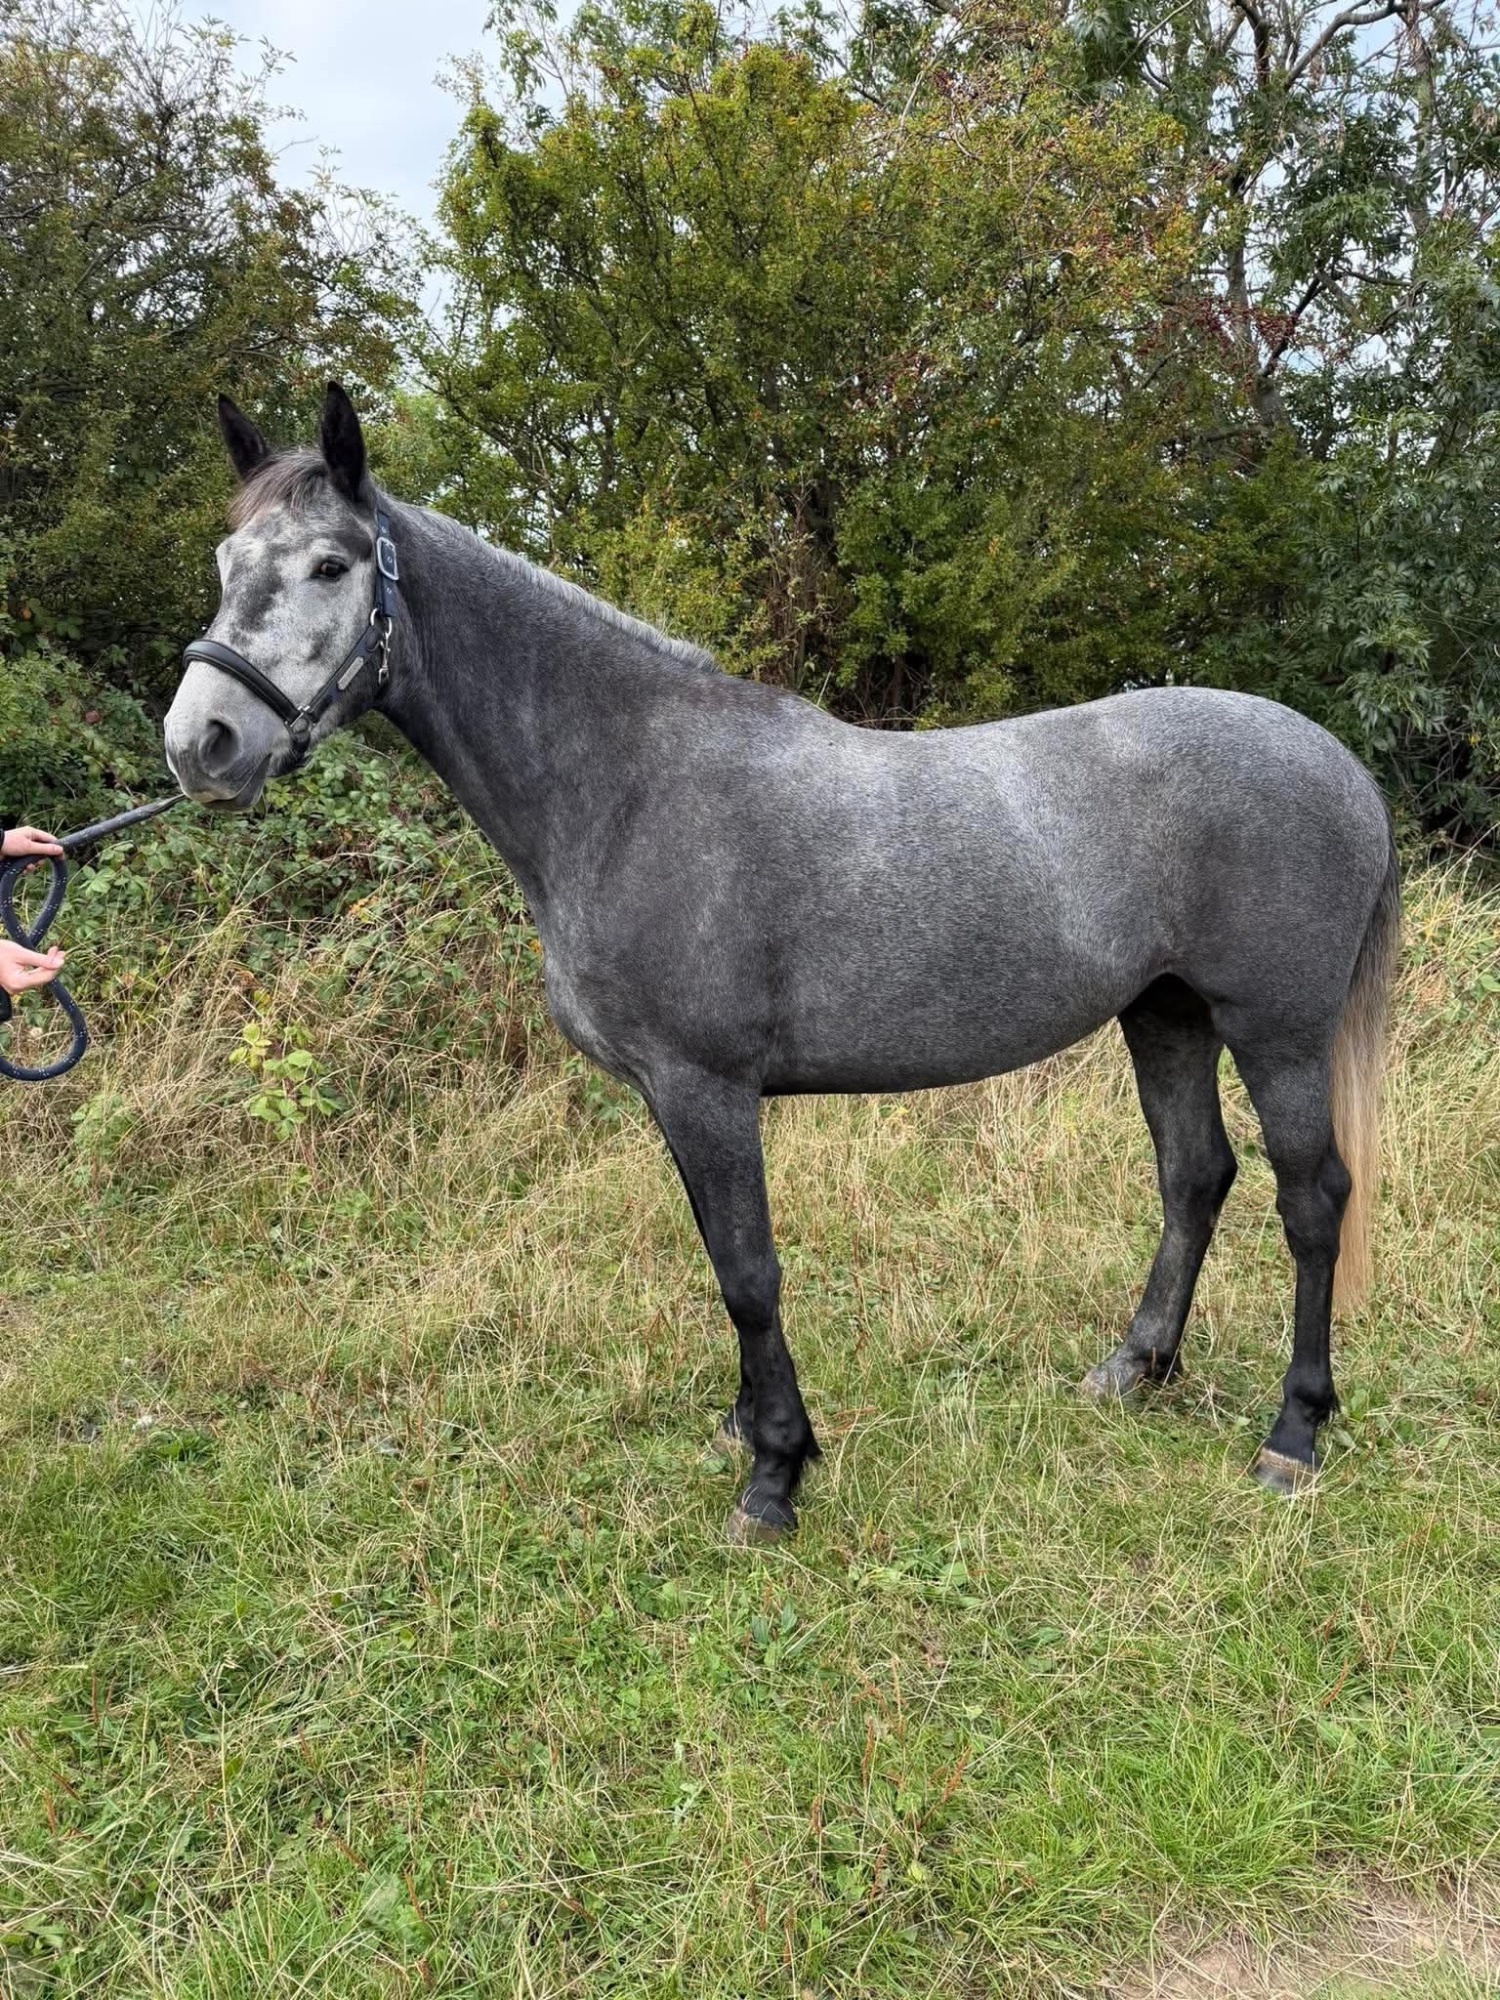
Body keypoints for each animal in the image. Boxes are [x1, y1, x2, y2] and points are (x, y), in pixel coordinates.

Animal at [165, 384, 1400, 1541]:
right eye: (227, 562)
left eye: (330, 564)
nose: (200, 743)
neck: (626, 784)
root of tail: (1341, 765)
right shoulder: (671, 1095)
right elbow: (722, 1259)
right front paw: (746, 1427)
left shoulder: (708, 1086)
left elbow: (749, 1272)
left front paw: (775, 1475)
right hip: (1165, 1011)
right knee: (1195, 1176)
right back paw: (1135, 1367)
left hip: (1275, 1030)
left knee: (1312, 1200)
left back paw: (1294, 1431)